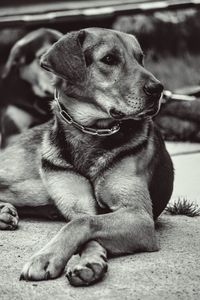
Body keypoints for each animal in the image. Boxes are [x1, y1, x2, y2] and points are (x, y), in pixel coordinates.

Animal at [0, 28, 173, 286]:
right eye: (109, 59)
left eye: (140, 58)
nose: (158, 89)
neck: (91, 131)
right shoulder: (79, 205)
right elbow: (79, 222)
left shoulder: (139, 216)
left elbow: (82, 225)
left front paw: (79, 261)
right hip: (27, 183)